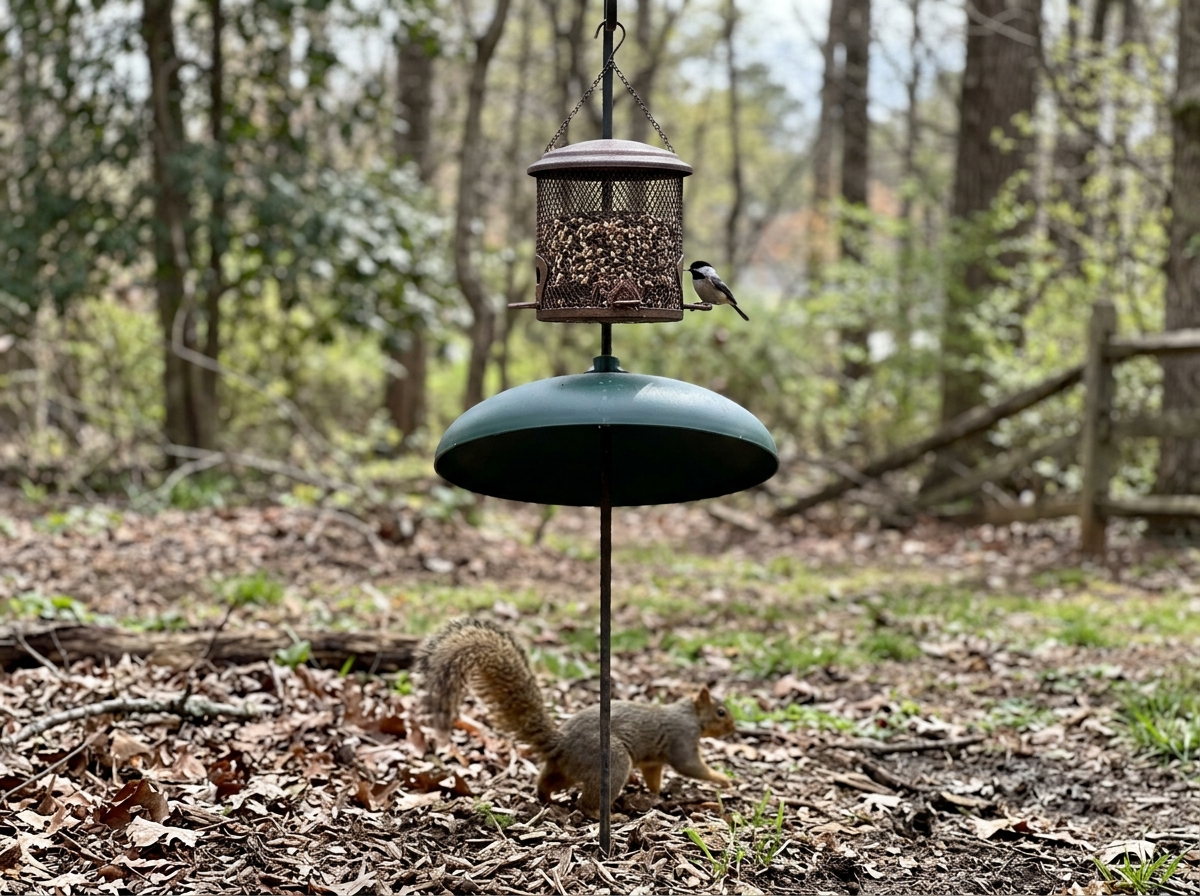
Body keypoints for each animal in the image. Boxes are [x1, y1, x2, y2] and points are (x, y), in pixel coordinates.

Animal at [416, 617, 737, 818]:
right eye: (721, 712)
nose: (733, 728)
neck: (689, 713)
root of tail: (562, 744)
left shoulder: (653, 761)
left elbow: (654, 775)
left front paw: (657, 793)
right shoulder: (683, 737)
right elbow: (690, 766)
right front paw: (723, 779)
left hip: (567, 769)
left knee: (547, 781)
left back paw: (546, 798)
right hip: (612, 762)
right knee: (585, 803)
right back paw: (606, 816)